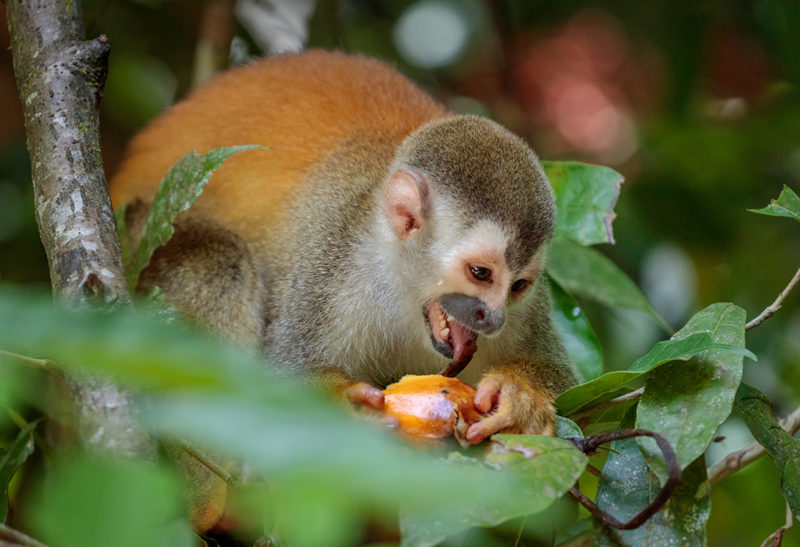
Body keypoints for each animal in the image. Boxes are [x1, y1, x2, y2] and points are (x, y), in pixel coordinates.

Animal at [111, 50, 576, 446]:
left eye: (518, 286)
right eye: (481, 273)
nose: (492, 318)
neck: (401, 287)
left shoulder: (528, 310)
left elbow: (563, 377)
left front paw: (521, 395)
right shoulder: (333, 262)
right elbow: (282, 372)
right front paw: (339, 404)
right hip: (139, 237)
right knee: (219, 261)